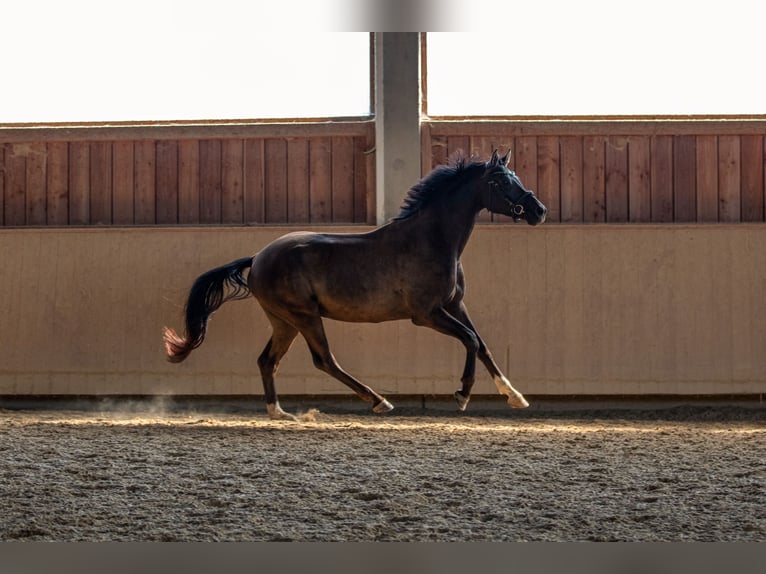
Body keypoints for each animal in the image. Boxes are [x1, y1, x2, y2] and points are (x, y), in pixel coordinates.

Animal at [164, 151, 544, 420]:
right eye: (499, 182)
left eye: (515, 176)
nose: (538, 210)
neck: (431, 239)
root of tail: (257, 257)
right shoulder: (426, 313)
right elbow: (469, 340)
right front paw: (462, 395)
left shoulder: (454, 305)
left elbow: (481, 344)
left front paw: (515, 397)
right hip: (304, 317)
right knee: (324, 360)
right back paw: (378, 401)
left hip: (284, 321)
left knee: (267, 361)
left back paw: (279, 412)